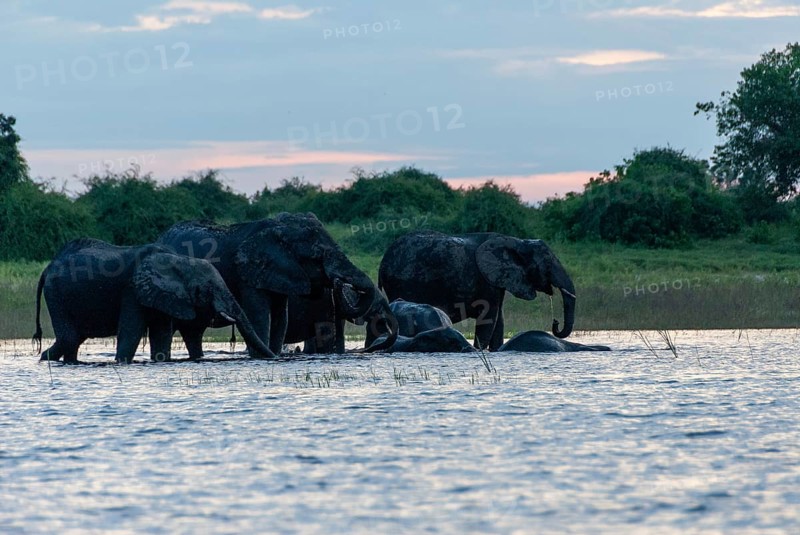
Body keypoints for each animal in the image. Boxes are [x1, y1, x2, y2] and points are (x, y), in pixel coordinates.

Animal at [32, 238, 276, 364]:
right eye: (206, 289)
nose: (275, 358)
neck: (178, 260)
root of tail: (48, 267)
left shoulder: (164, 296)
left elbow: (161, 335)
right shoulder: (133, 289)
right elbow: (131, 332)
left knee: (73, 340)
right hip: (56, 295)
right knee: (69, 338)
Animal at [158, 213, 397, 358]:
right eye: (317, 256)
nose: (338, 280)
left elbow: (281, 319)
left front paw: (273, 355)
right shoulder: (249, 275)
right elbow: (260, 317)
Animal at [379, 231, 576, 351]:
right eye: (547, 265)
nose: (555, 322)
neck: (517, 242)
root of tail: (382, 263)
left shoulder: (497, 280)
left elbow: (498, 321)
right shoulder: (486, 280)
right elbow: (488, 319)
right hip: (403, 282)